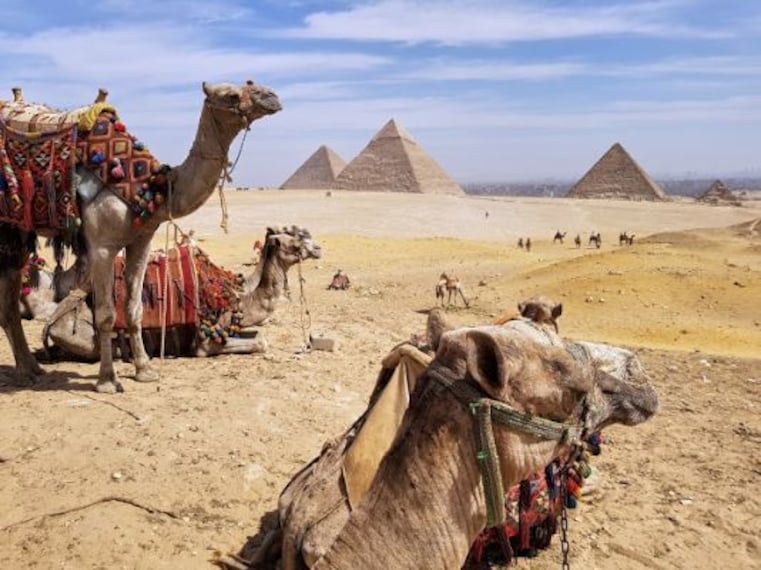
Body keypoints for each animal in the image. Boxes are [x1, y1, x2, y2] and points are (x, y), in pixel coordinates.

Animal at [0, 80, 281, 392]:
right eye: (231, 95)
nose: (272, 97)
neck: (152, 187)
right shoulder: (102, 246)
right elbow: (106, 315)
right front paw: (107, 381)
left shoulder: (141, 241)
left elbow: (133, 310)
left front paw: (145, 370)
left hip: (15, 235)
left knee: (9, 306)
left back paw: (31, 369)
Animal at [32, 225, 320, 360]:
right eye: (294, 241)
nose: (317, 248)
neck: (240, 297)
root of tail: (52, 324)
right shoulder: (203, 342)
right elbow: (261, 342)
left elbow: (258, 335)